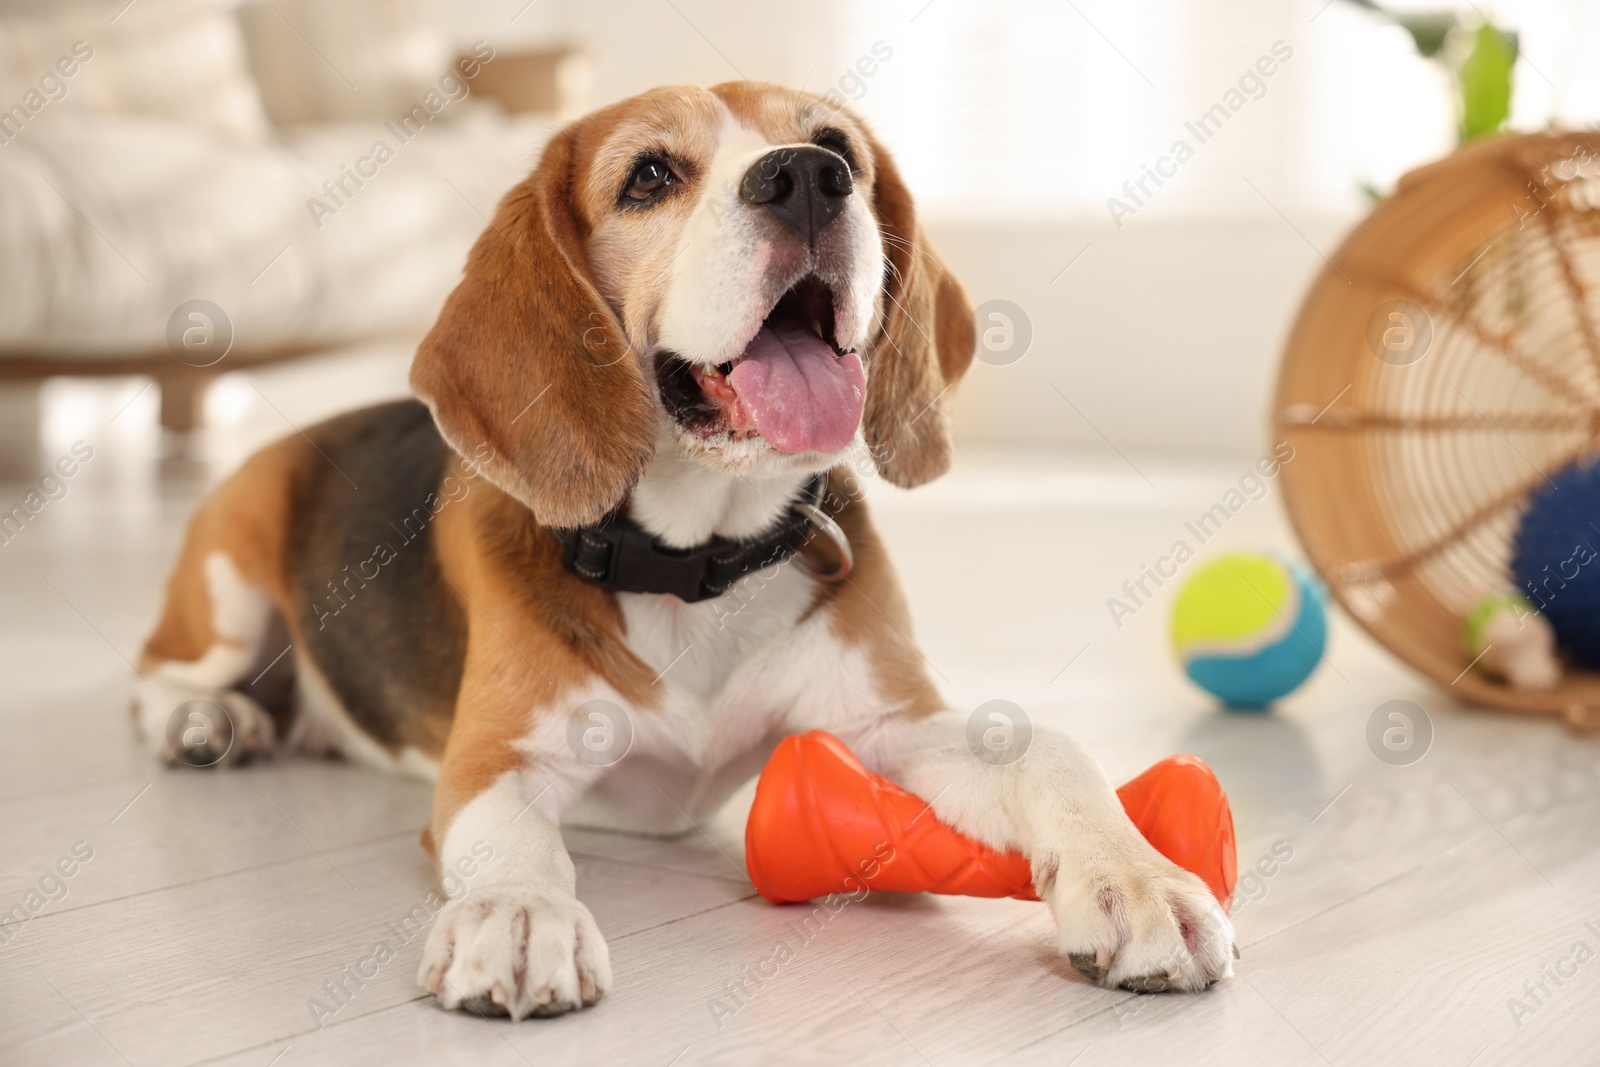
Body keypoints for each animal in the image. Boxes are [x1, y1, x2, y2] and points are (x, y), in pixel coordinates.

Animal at [137, 81, 1235, 1017]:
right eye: (650, 175)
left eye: (838, 147)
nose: (807, 177)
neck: (696, 560)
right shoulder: (497, 758)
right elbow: (514, 841)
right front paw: (522, 916)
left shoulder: (887, 721)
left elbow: (1046, 749)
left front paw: (1138, 878)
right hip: (231, 574)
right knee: (159, 668)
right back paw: (208, 719)